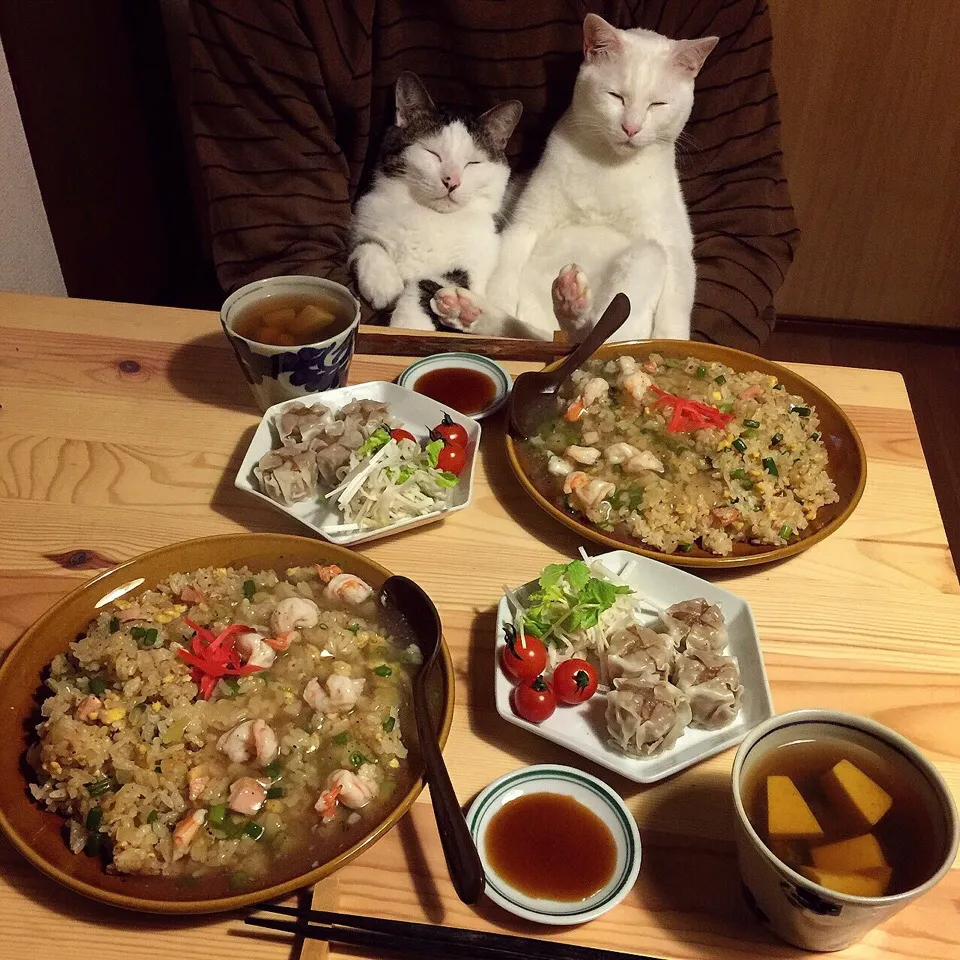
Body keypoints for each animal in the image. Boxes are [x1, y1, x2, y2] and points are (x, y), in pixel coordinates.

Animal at [348, 73, 524, 332]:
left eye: (473, 163)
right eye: (432, 153)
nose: (452, 181)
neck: (430, 216)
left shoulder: (472, 264)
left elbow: (428, 283)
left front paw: (410, 324)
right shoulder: (364, 217)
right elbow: (367, 246)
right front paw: (383, 284)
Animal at [432, 14, 716, 342]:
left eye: (657, 105)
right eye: (615, 96)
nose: (631, 128)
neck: (609, 166)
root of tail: (549, 332)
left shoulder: (674, 245)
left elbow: (676, 307)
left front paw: (672, 341)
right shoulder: (525, 224)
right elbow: (504, 275)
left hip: (648, 256)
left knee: (599, 334)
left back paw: (570, 307)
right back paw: (473, 311)